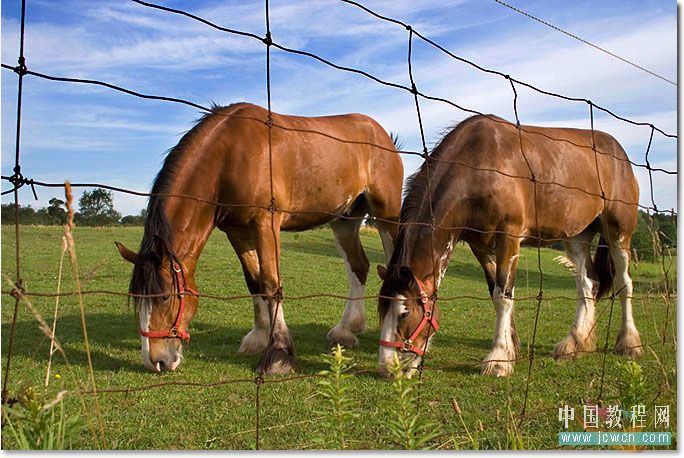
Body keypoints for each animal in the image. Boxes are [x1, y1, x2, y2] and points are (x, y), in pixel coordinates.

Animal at [111, 102, 400, 374]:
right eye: (137, 298)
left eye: (164, 297)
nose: (155, 361)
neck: (229, 157)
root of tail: (382, 134)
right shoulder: (238, 233)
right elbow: (255, 282)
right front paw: (260, 337)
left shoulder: (266, 225)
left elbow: (271, 283)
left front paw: (279, 353)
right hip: (344, 221)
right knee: (358, 266)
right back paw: (347, 329)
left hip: (387, 215)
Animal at [380, 115, 640, 380]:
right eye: (380, 309)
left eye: (404, 313)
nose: (389, 368)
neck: (479, 167)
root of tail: (618, 152)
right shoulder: (480, 245)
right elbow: (495, 291)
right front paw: (510, 346)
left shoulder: (509, 237)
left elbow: (503, 295)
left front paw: (498, 359)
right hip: (577, 237)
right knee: (588, 284)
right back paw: (575, 343)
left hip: (619, 233)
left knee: (624, 283)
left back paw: (629, 343)